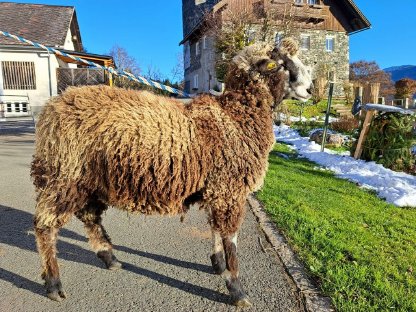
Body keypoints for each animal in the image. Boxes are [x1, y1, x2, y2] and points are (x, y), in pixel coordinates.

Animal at [31, 37, 312, 308]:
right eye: (282, 63)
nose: (310, 89)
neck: (234, 117)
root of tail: (52, 107)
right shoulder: (229, 189)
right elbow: (230, 238)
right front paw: (236, 288)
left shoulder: (216, 188)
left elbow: (215, 229)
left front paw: (218, 264)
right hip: (65, 173)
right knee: (45, 226)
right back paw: (53, 283)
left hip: (88, 179)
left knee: (89, 216)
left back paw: (109, 257)